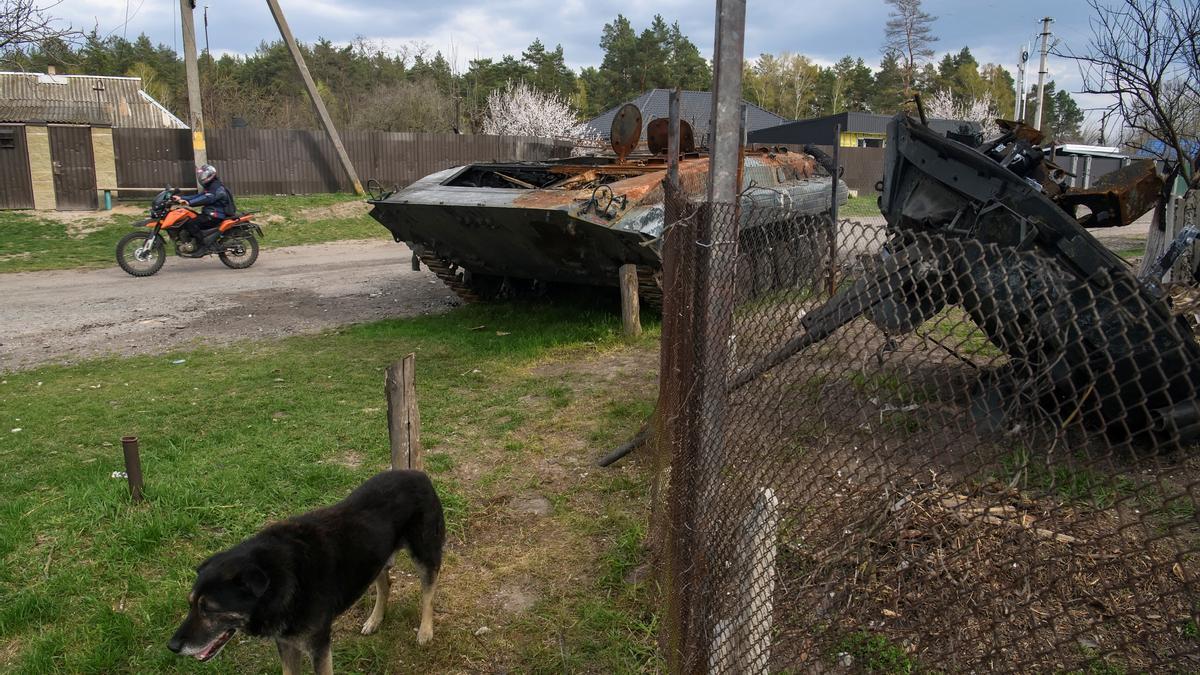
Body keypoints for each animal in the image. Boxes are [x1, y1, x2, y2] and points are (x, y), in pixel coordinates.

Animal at [169, 468, 446, 672]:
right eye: (190, 604)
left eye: (209, 609)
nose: (172, 647)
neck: (283, 580)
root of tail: (417, 473)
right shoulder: (286, 644)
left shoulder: (318, 647)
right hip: (375, 557)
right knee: (385, 584)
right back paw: (375, 620)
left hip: (424, 555)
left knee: (429, 592)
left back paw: (425, 631)